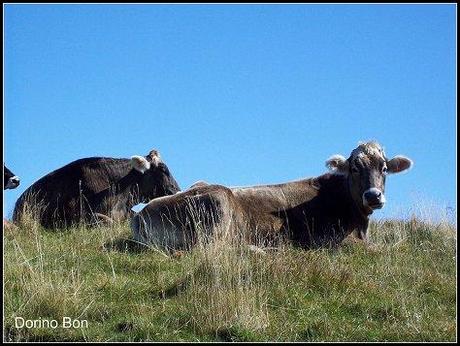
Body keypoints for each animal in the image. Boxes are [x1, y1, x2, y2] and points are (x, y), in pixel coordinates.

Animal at [130, 142, 414, 250]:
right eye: (354, 168)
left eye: (384, 168)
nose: (373, 195)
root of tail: (141, 213)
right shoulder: (326, 240)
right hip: (218, 203)